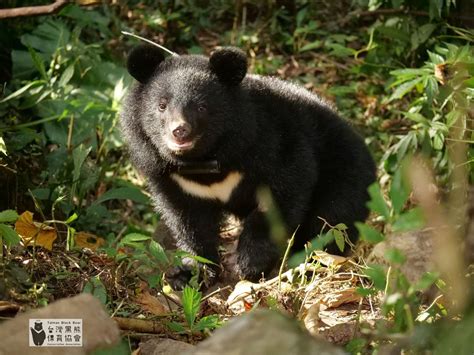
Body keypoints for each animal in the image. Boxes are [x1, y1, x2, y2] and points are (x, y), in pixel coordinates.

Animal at [120, 44, 376, 290]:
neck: (203, 160)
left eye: (202, 107)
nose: (179, 130)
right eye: (162, 105)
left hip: (344, 173)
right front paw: (188, 274)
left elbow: (283, 194)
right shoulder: (173, 178)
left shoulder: (272, 143)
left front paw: (249, 264)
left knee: (331, 221)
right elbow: (190, 223)